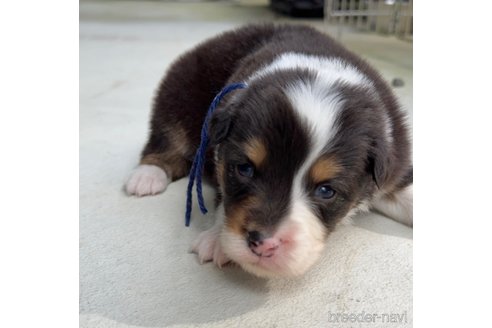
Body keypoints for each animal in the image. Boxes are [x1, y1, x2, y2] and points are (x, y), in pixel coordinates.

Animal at [125, 24, 414, 278]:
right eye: (245, 169)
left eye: (326, 191)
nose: (263, 244)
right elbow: (224, 195)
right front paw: (216, 240)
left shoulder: (394, 165)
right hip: (179, 93)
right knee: (166, 135)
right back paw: (146, 176)